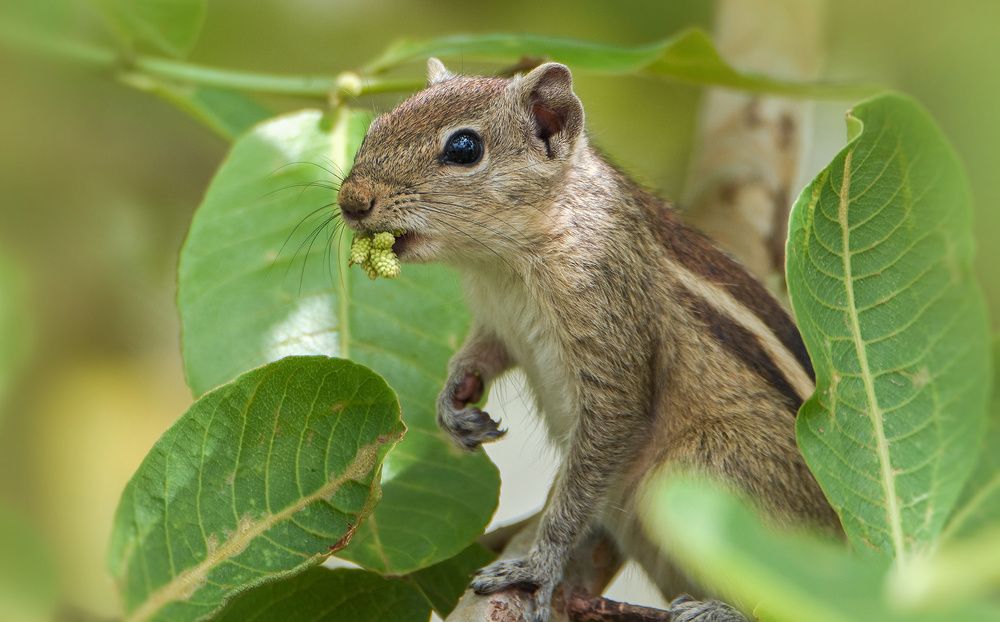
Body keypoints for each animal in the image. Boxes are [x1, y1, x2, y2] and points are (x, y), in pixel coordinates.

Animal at [338, 58, 840, 622]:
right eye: (374, 129)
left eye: (464, 148)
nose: (351, 201)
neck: (503, 261)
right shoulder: (497, 322)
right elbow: (482, 354)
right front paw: (454, 403)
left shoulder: (610, 341)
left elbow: (593, 464)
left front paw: (538, 567)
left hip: (708, 471)